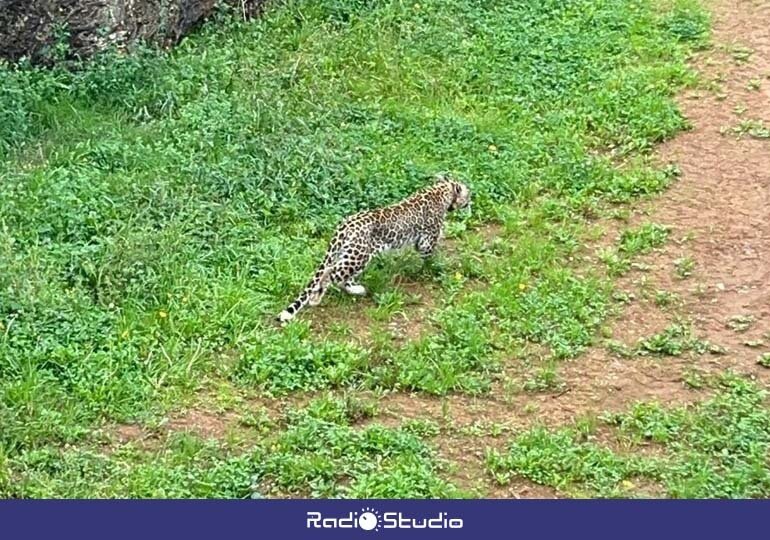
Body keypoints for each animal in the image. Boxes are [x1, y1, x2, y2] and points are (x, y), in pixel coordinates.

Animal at [276, 175, 468, 322]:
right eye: (468, 194)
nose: (470, 200)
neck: (442, 190)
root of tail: (344, 225)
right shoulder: (427, 241)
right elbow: (431, 256)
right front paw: (437, 266)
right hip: (358, 256)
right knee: (331, 273)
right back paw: (317, 298)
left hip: (350, 254)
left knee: (340, 276)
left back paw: (357, 289)